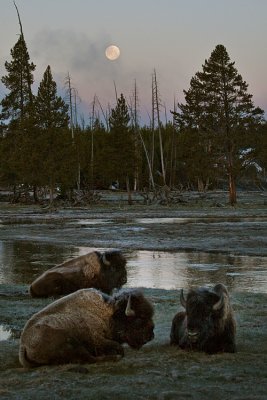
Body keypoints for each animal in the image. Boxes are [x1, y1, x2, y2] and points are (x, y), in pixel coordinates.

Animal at [18, 286, 155, 368]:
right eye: (140, 318)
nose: (151, 336)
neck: (110, 313)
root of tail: (24, 344)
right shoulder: (98, 340)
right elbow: (118, 348)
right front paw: (118, 354)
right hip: (71, 343)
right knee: (88, 358)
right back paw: (114, 358)